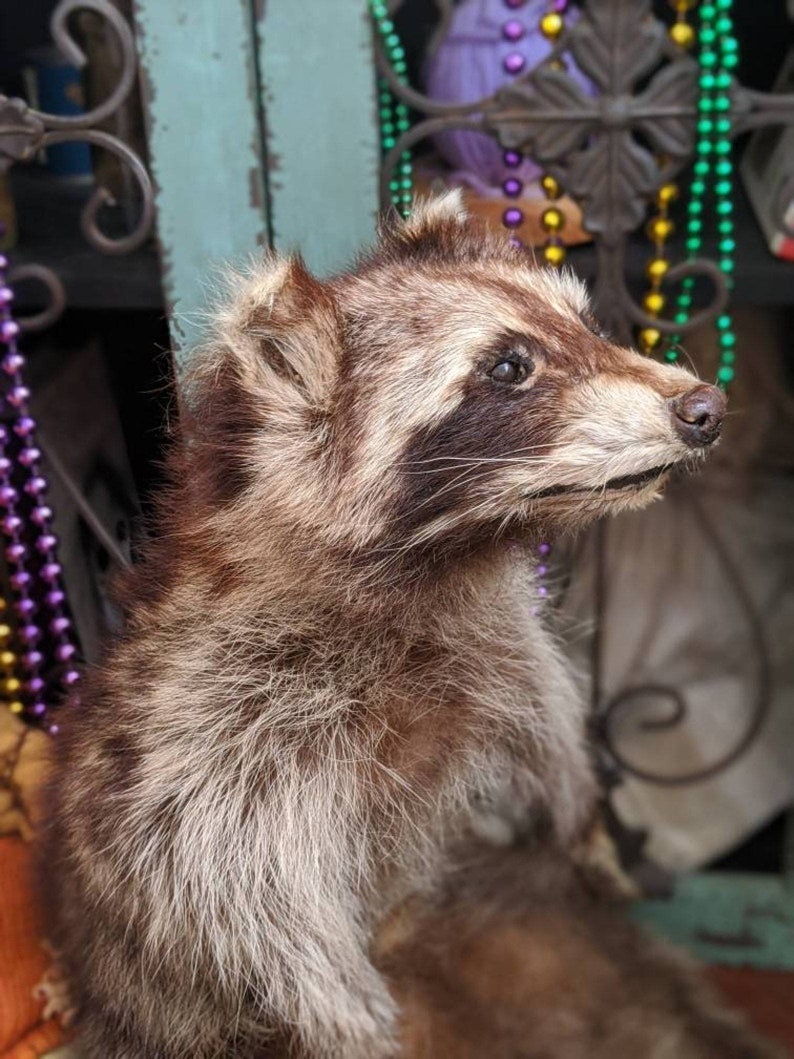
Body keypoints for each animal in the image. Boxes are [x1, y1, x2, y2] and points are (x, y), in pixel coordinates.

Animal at [46, 192, 731, 1058]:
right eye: (510, 366)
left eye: (585, 323)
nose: (706, 407)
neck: (441, 566)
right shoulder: (216, 737)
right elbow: (250, 903)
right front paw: (352, 1016)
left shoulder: (500, 651)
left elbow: (549, 730)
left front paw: (587, 822)